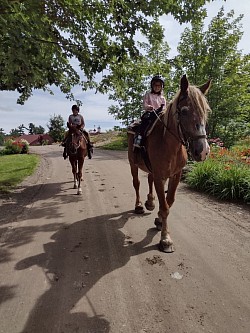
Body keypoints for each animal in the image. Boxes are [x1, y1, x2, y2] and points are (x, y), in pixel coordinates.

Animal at [127, 74, 211, 252]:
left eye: (205, 111)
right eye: (184, 111)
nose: (203, 151)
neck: (169, 144)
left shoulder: (175, 175)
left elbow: (169, 201)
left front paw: (159, 219)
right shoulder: (160, 176)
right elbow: (165, 207)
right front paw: (165, 239)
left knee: (149, 180)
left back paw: (150, 202)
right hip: (133, 164)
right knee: (136, 183)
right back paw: (139, 205)